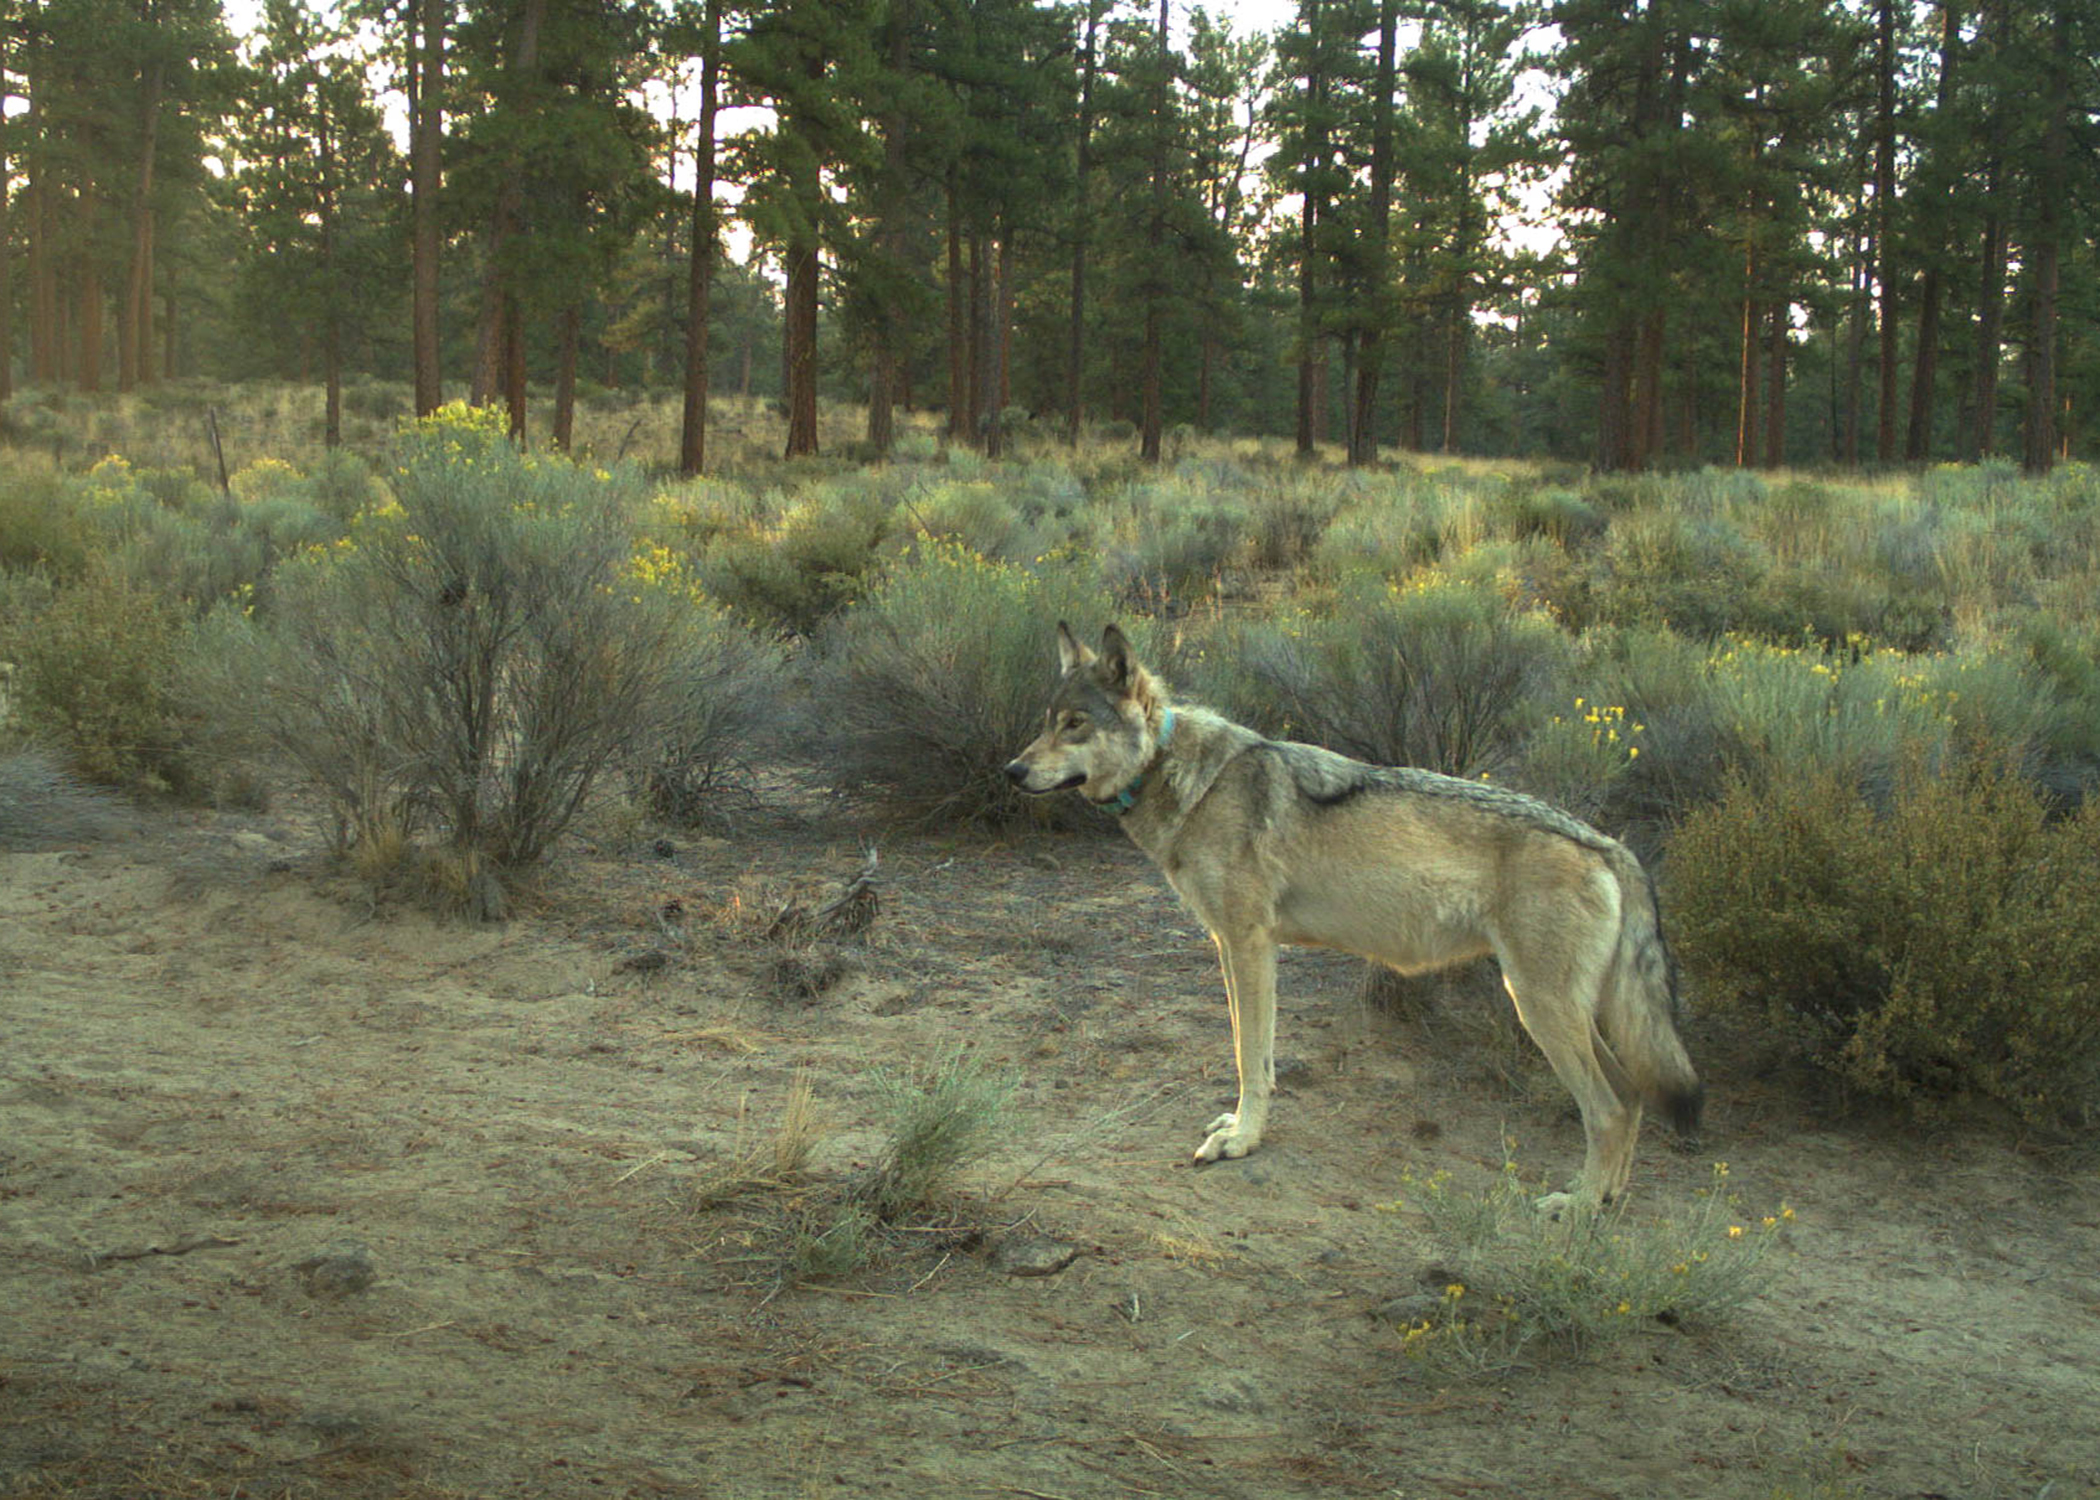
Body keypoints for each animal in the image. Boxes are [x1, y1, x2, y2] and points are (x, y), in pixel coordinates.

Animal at [1004, 623, 1702, 1210]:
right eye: (1044, 723)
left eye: (1075, 724)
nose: (1011, 770)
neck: (1186, 779)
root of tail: (1610, 845)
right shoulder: (1232, 946)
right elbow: (1253, 1054)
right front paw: (1240, 1127)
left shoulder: (1249, 943)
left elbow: (1249, 1055)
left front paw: (1241, 1142)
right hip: (1566, 1012)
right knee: (1632, 1099)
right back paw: (1603, 1201)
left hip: (1538, 1007)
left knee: (1609, 1109)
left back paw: (1575, 1209)